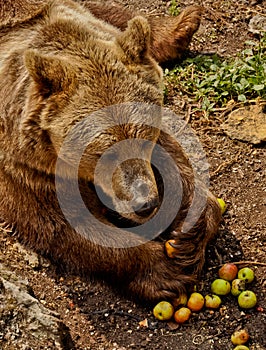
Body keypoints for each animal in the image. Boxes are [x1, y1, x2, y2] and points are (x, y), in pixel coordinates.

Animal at [0, 0, 220, 300]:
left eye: (144, 139)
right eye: (102, 153)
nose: (144, 205)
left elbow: (175, 163)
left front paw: (188, 234)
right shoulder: (25, 168)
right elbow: (60, 223)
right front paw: (164, 272)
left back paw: (181, 25)